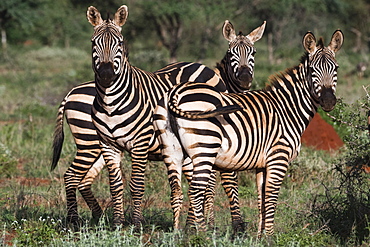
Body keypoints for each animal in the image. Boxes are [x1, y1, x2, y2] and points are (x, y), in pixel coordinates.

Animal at [51, 3, 266, 228]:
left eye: (254, 52)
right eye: (231, 53)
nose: (245, 79)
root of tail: (70, 92)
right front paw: (213, 223)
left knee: (82, 180)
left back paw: (95, 217)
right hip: (89, 143)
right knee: (72, 176)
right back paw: (74, 220)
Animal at [152, 29, 342, 235]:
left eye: (336, 69)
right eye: (313, 70)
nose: (329, 101)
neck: (286, 109)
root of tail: (175, 92)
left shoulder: (262, 164)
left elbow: (262, 197)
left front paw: (260, 236)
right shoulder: (278, 157)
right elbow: (271, 196)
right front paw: (269, 236)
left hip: (172, 150)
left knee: (176, 191)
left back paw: (178, 234)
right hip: (205, 147)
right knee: (195, 191)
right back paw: (202, 235)